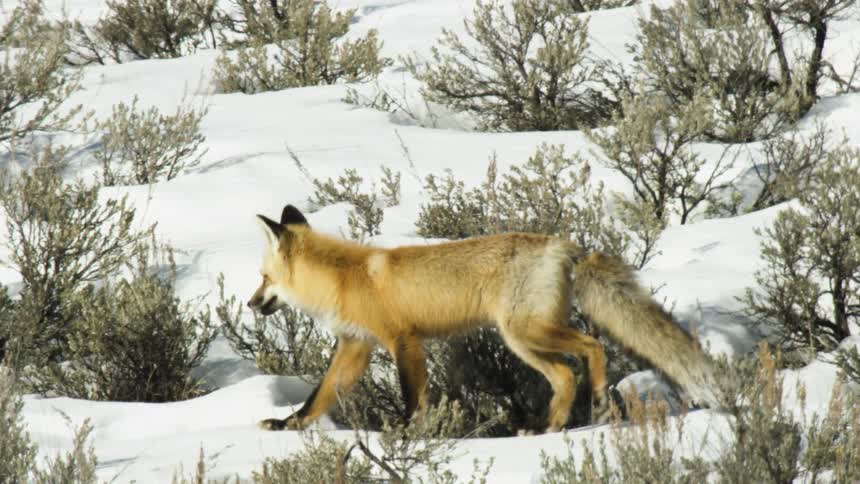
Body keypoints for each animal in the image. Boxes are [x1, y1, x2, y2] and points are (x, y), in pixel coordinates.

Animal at [248, 204, 717, 433]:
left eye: (264, 277)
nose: (251, 303)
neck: (345, 279)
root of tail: (565, 246)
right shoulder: (355, 346)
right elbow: (319, 397)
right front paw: (288, 425)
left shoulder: (404, 341)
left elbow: (413, 399)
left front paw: (408, 435)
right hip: (525, 342)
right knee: (566, 376)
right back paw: (548, 429)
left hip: (524, 333)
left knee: (592, 346)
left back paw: (598, 400)